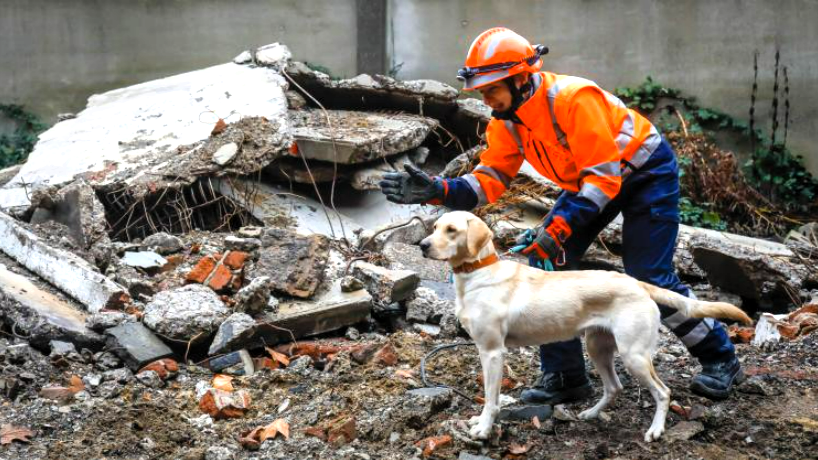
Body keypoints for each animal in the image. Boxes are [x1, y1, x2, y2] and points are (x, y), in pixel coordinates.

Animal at [420, 212, 752, 442]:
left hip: (634, 356)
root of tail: (636, 282)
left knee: (662, 392)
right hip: (597, 348)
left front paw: (484, 429)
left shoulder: (492, 352)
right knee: (614, 387)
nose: (422, 245)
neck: (477, 273)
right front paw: (479, 423)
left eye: (452, 230)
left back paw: (656, 430)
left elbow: (491, 400)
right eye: (435, 227)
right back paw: (591, 414)